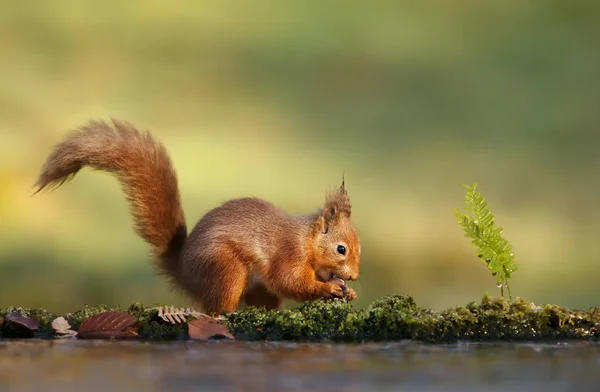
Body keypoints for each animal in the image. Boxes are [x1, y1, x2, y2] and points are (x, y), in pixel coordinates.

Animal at [34, 118, 360, 314]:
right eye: (341, 249)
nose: (355, 276)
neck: (307, 240)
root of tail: (183, 270)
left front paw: (349, 292)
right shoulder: (289, 252)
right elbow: (290, 281)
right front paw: (330, 287)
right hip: (226, 268)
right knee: (216, 307)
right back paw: (225, 316)